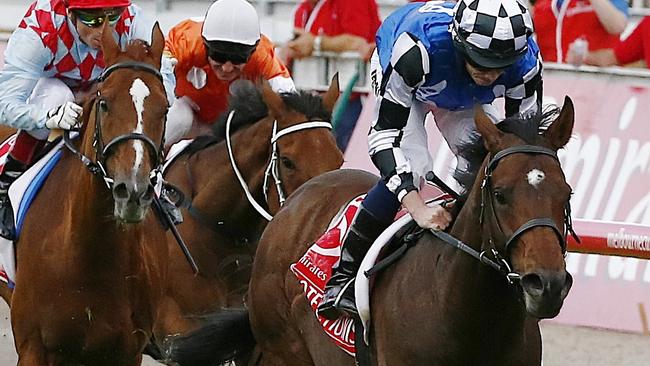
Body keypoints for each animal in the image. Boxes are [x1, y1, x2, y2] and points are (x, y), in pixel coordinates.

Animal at [165, 96, 576, 366]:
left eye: (567, 193)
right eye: (501, 194)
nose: (547, 285)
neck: (468, 314)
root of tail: (293, 204)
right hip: (286, 349)